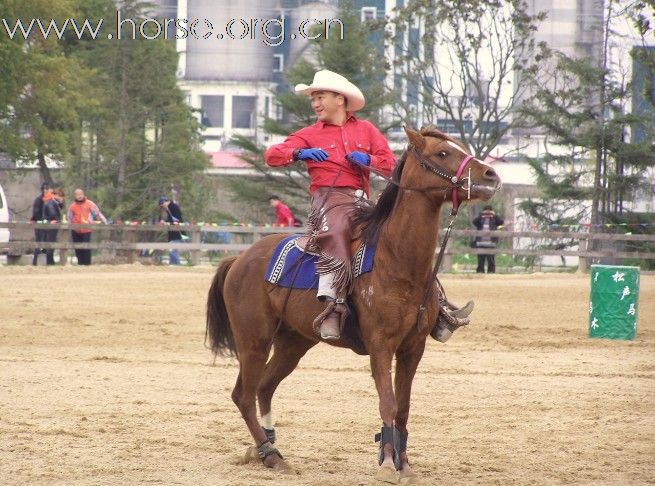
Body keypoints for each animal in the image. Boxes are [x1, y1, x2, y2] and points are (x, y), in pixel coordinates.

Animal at [206, 125, 502, 482]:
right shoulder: (381, 345)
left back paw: (267, 447)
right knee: (244, 395)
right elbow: (387, 402)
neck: (398, 261)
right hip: (254, 340)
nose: (490, 175)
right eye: (442, 153)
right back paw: (270, 454)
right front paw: (387, 464)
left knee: (264, 387)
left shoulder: (413, 348)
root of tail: (239, 259)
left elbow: (404, 408)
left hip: (294, 342)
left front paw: (405, 465)